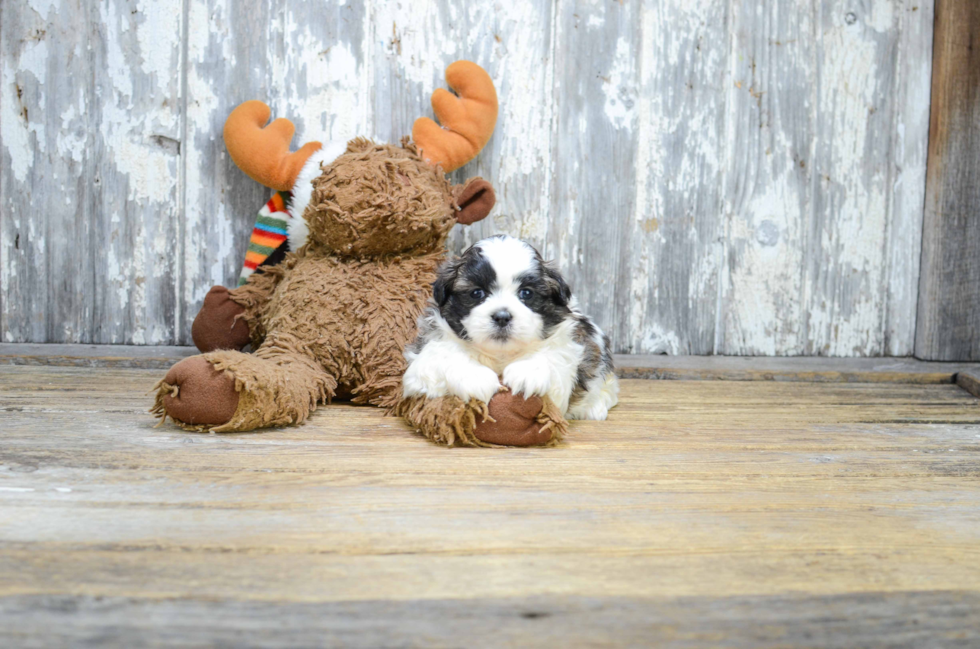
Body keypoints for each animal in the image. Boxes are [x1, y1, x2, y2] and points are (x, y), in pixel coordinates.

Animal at [400, 234, 616, 420]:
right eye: (477, 293)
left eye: (526, 293)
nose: (502, 317)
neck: (501, 354)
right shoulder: (424, 359)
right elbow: (444, 354)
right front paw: (475, 376)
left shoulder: (566, 350)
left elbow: (552, 357)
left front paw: (528, 371)